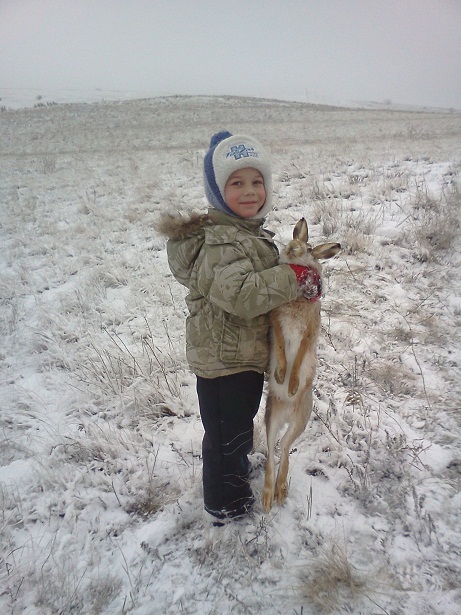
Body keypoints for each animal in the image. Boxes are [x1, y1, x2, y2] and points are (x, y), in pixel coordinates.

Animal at [262, 218, 340, 512]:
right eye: (295, 240)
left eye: (308, 248)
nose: (292, 246)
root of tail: (286, 412)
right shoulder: (276, 323)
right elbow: (282, 351)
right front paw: (280, 374)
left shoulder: (308, 334)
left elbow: (298, 359)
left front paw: (292, 384)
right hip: (271, 417)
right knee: (273, 448)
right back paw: (269, 496)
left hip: (300, 420)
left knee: (284, 448)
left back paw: (280, 492)